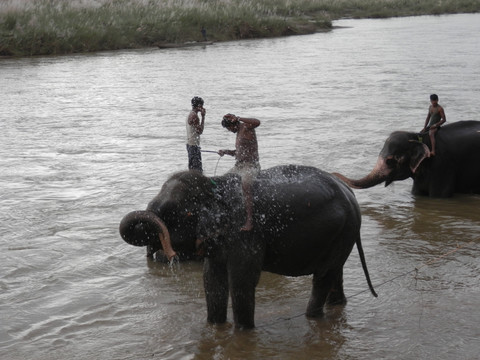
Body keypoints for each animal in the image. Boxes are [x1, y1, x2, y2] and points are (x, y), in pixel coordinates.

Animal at [120, 165, 378, 330]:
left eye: (173, 214)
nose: (167, 252)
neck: (215, 185)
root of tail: (351, 194)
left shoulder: (246, 233)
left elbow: (242, 280)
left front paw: (243, 332)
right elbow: (212, 279)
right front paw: (214, 327)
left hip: (343, 231)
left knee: (323, 276)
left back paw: (312, 316)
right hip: (341, 234)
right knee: (335, 271)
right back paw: (336, 306)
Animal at [334, 122, 480, 198]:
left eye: (389, 160)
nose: (333, 173)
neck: (418, 137)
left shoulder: (443, 166)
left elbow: (438, 196)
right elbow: (416, 193)